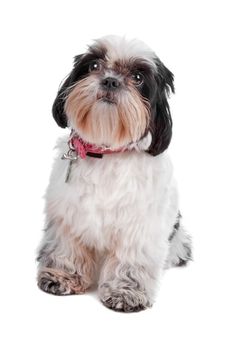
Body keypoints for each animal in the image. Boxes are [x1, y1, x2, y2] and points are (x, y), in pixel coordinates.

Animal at [37, 35, 192, 312]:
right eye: (94, 66)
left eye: (138, 78)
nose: (110, 80)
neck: (107, 150)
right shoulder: (68, 215)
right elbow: (67, 247)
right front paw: (63, 276)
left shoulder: (140, 226)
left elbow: (132, 259)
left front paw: (126, 292)